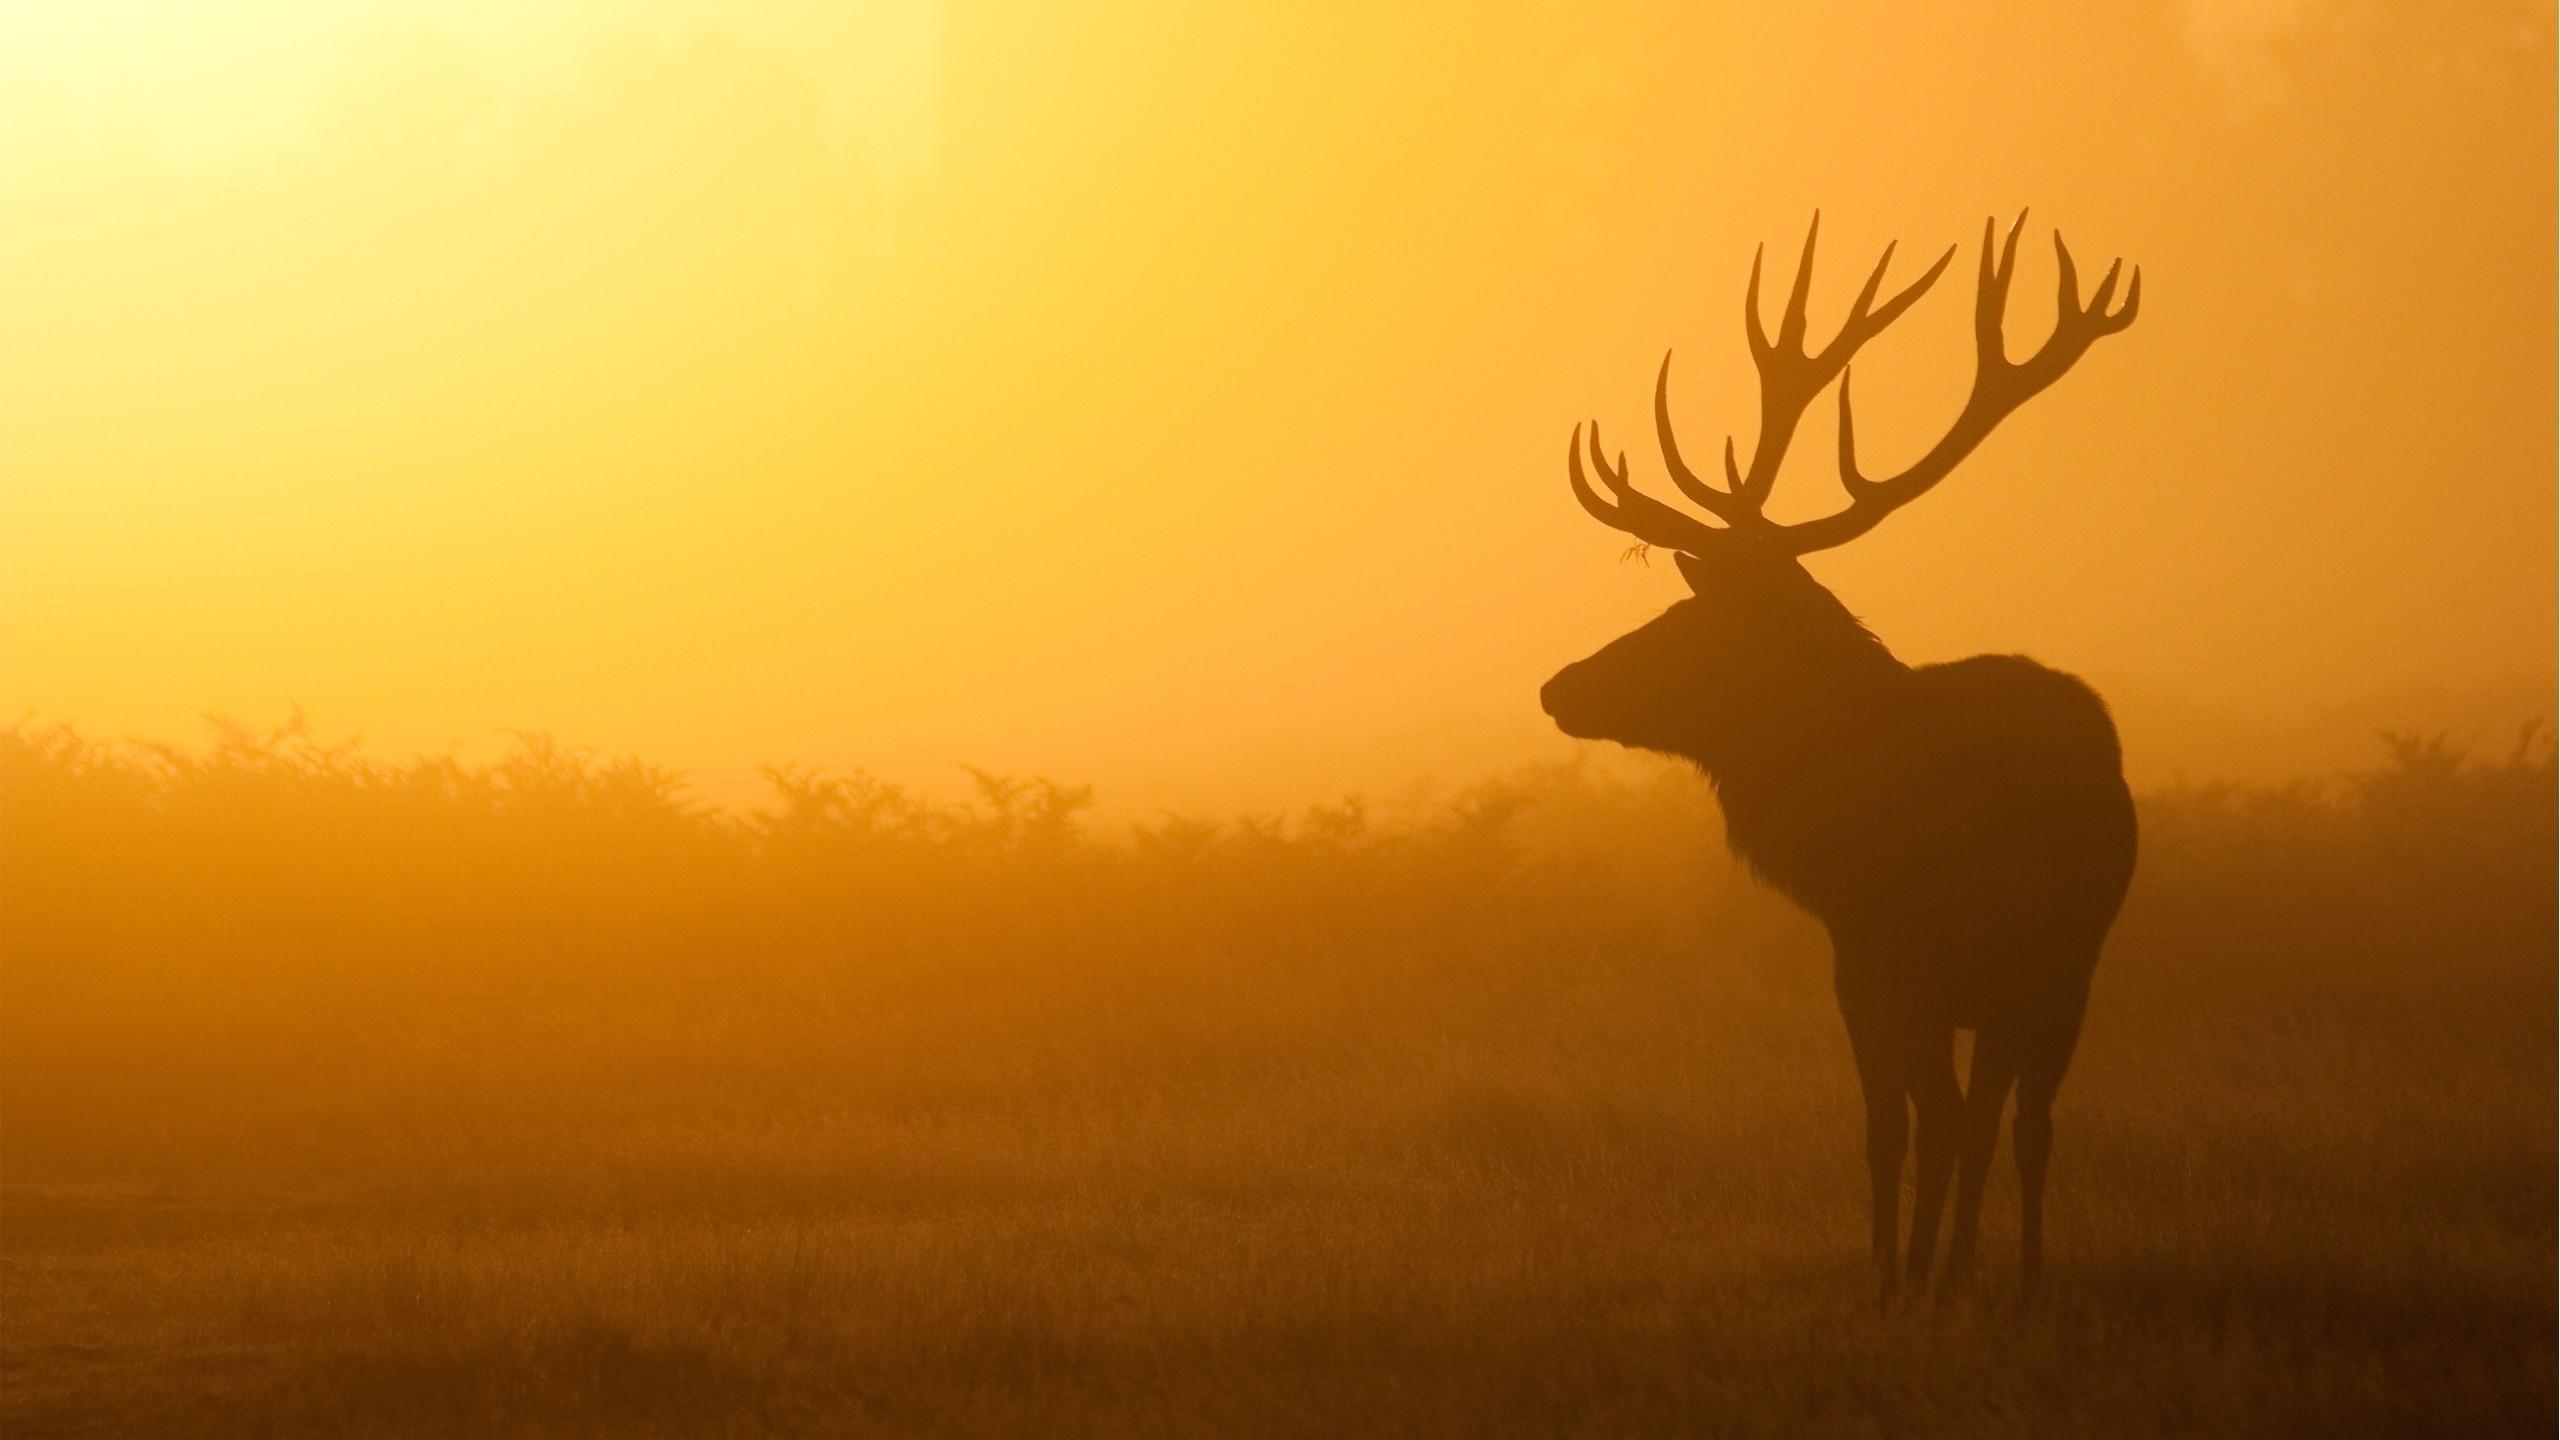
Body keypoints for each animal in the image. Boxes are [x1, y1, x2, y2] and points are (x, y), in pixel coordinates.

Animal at [1539, 213, 2141, 1298]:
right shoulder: (1863, 968)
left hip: (2059, 967)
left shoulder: (1926, 966)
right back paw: (1976, 1267)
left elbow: (1936, 1123)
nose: (1559, 685)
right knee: (1993, 1118)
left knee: (2016, 1120)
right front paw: (1892, 1274)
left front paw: (1915, 1283)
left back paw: (2007, 1272)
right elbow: (1885, 1129)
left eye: (1691, 623)